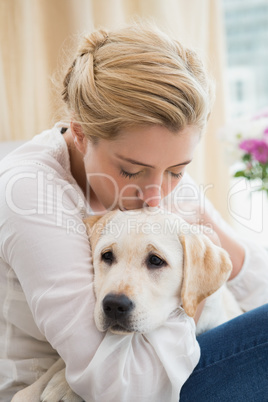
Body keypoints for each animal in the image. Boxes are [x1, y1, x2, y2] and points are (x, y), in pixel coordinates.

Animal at [11, 209, 242, 402]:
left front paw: (63, 387)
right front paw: (33, 390)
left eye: (156, 261)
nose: (114, 305)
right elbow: (62, 363)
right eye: (107, 256)